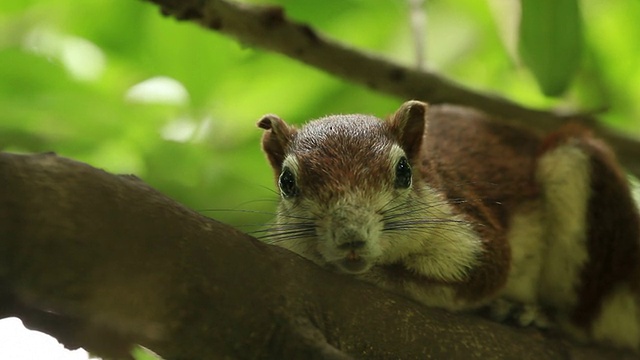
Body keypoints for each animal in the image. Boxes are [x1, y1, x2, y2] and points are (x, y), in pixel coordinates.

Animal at [255, 100, 640, 350]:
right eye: (287, 182)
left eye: (404, 171)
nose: (351, 237)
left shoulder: (472, 237)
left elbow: (463, 277)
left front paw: (370, 273)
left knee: (590, 320)